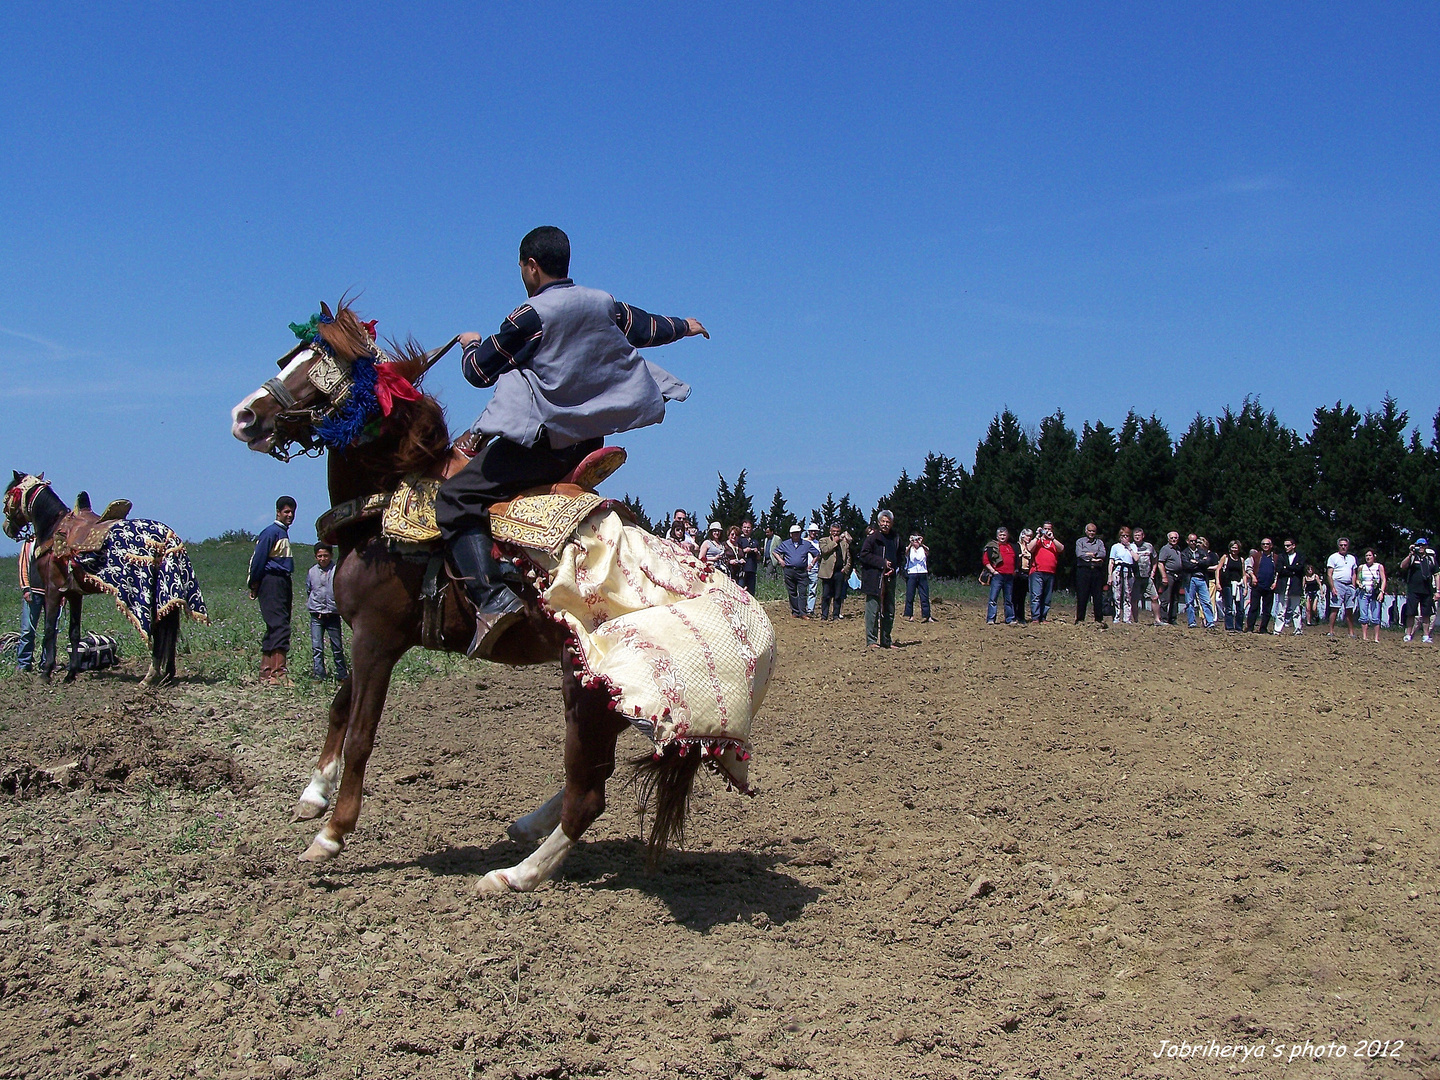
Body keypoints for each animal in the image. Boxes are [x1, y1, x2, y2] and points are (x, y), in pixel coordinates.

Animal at [228, 305, 714, 898]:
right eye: (291, 357)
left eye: (317, 369)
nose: (245, 417)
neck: (381, 509)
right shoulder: (370, 639)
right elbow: (340, 706)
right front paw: (313, 795)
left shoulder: (376, 639)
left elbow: (362, 734)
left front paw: (331, 834)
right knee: (599, 772)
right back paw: (526, 828)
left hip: (585, 694)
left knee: (590, 793)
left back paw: (514, 875)